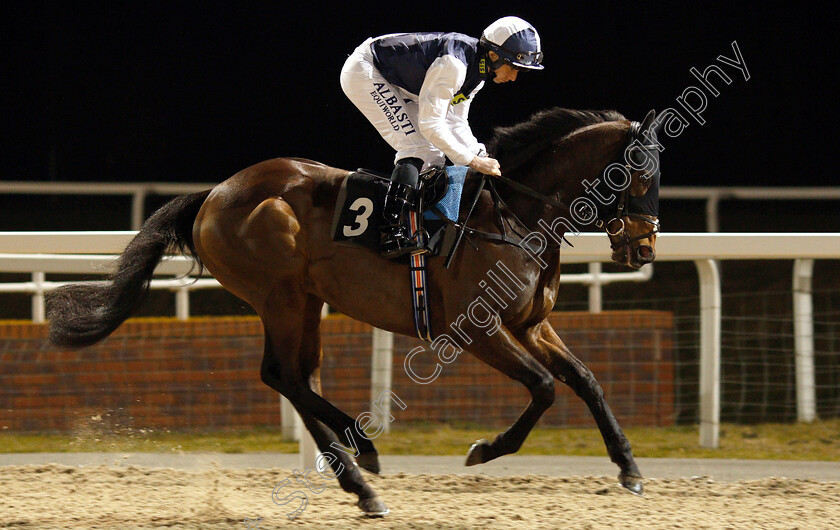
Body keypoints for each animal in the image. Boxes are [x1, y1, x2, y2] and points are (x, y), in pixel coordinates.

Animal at [47, 107, 664, 516]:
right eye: (640, 174)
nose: (644, 249)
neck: (512, 214)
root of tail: (215, 194)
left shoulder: (530, 324)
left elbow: (585, 380)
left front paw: (630, 469)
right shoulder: (479, 328)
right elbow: (544, 387)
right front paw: (485, 449)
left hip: (308, 300)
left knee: (297, 377)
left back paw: (358, 472)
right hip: (280, 294)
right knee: (283, 374)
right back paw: (362, 462)